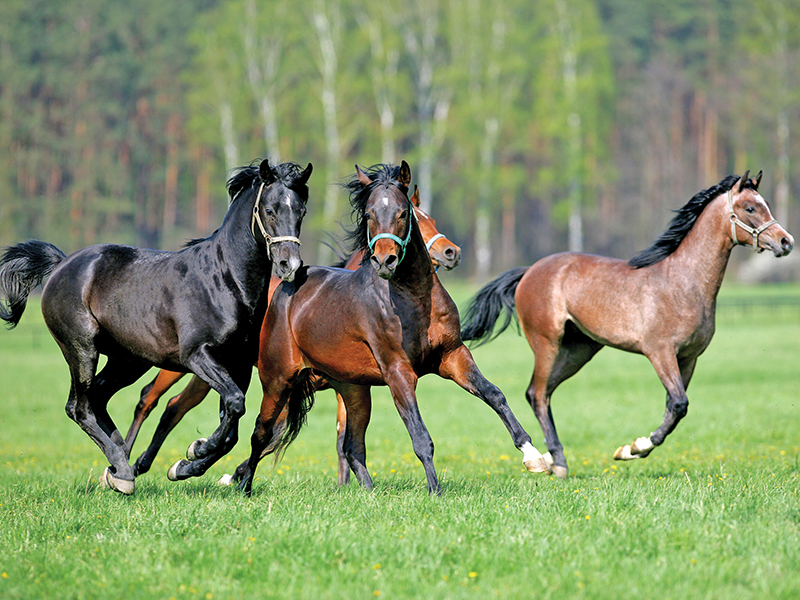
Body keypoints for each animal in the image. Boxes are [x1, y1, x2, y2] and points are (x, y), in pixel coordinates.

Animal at [0, 158, 312, 494]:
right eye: (269, 209)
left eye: (301, 211)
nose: (290, 265)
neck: (224, 280)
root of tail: (62, 263)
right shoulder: (197, 356)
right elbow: (234, 405)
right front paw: (195, 451)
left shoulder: (238, 365)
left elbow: (232, 427)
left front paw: (186, 464)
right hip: (82, 349)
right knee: (79, 407)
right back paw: (123, 470)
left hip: (128, 360)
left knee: (98, 397)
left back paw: (118, 464)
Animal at [120, 185, 461, 482]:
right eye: (418, 221)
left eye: (427, 219)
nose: (451, 252)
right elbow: (270, 435)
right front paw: (233, 473)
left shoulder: (342, 385)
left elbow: (340, 437)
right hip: (179, 365)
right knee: (151, 399)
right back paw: (129, 463)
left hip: (208, 375)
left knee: (176, 406)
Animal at [229, 161, 548, 496]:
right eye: (369, 214)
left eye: (403, 213)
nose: (385, 260)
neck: (415, 301)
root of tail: (286, 288)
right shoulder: (398, 372)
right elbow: (420, 436)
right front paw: (436, 492)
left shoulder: (453, 356)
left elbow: (494, 395)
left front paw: (534, 456)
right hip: (278, 380)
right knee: (261, 433)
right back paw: (241, 486)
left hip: (353, 390)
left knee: (351, 445)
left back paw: (368, 493)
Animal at [460, 171, 793, 479]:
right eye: (750, 208)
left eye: (765, 204)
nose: (785, 241)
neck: (684, 282)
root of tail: (529, 270)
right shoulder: (660, 352)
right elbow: (678, 403)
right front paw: (635, 448)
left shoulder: (688, 357)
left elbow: (674, 408)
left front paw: (629, 449)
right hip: (547, 344)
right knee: (537, 394)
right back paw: (554, 463)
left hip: (578, 351)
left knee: (544, 394)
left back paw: (556, 460)